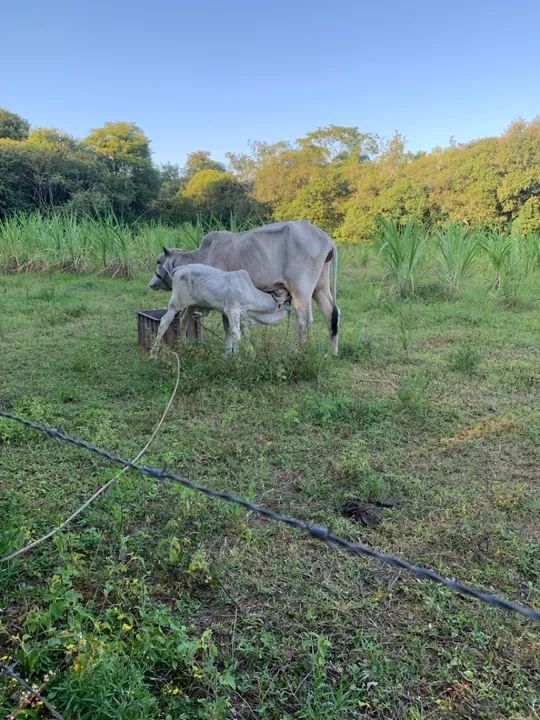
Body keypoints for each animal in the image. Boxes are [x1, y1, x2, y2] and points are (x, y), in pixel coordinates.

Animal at [149, 263, 290, 359]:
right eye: (288, 298)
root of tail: (180, 268)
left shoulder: (243, 316)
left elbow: (245, 334)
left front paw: (250, 354)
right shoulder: (232, 311)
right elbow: (236, 335)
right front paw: (236, 358)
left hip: (191, 305)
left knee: (183, 321)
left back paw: (184, 346)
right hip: (175, 303)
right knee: (164, 323)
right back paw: (153, 355)